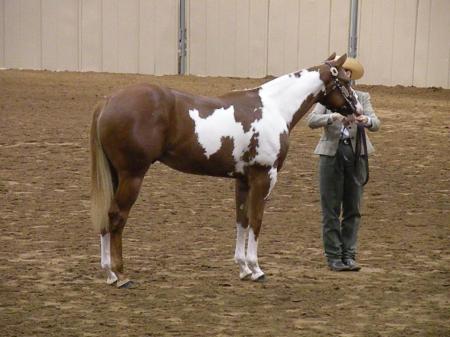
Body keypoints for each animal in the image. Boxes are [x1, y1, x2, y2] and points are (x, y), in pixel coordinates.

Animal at [90, 52, 362, 286]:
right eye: (345, 81)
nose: (358, 110)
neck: (274, 108)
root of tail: (108, 102)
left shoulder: (243, 180)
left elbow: (242, 220)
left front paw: (244, 269)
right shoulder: (264, 177)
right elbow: (256, 221)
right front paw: (257, 269)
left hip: (116, 175)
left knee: (106, 215)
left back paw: (109, 274)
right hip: (132, 175)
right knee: (117, 216)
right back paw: (121, 275)